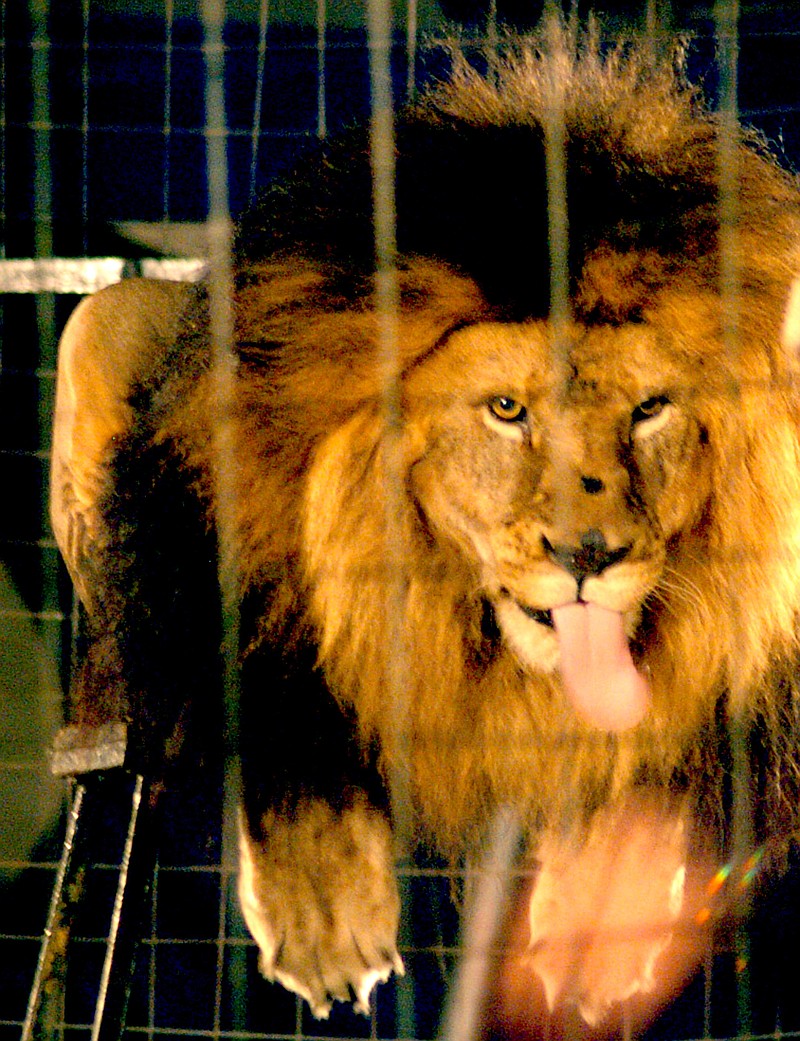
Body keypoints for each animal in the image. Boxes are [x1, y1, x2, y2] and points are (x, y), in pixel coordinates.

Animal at [50, 22, 800, 1024]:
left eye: (650, 410)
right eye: (507, 408)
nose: (588, 554)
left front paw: (610, 895)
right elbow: (283, 718)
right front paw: (323, 908)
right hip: (102, 321)